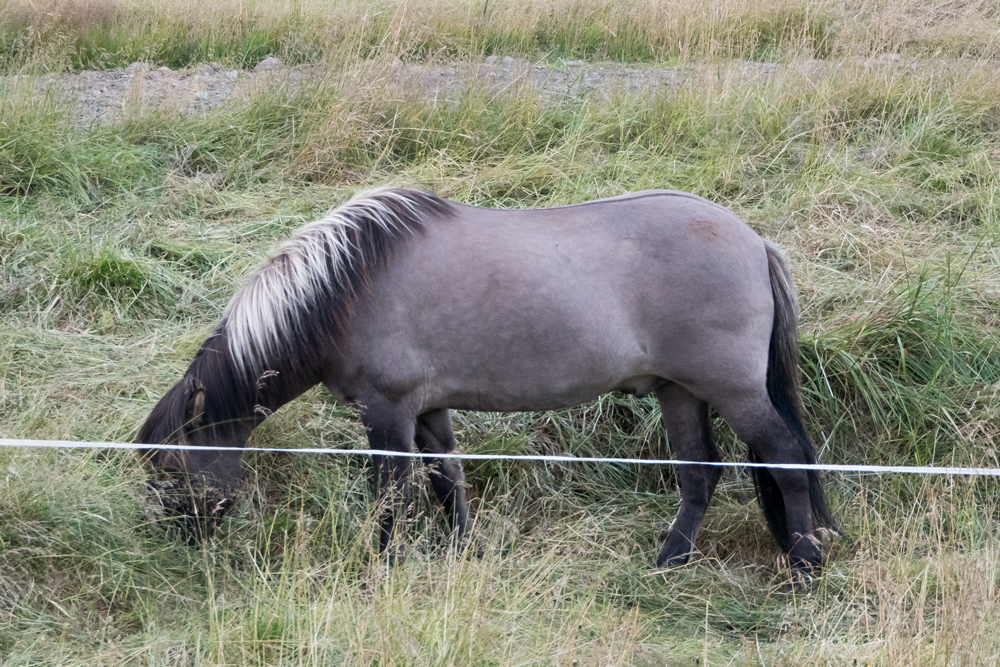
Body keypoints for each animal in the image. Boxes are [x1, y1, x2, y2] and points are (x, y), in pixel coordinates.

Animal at [135, 187, 836, 580]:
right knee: (700, 473)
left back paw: (803, 565)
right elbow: (447, 479)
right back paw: (671, 562)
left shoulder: (387, 413)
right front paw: (464, 552)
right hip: (678, 391)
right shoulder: (428, 411)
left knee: (785, 458)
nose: (177, 546)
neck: (347, 284)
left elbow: (392, 495)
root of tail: (755, 242)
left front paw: (383, 568)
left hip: (733, 391)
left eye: (171, 468)